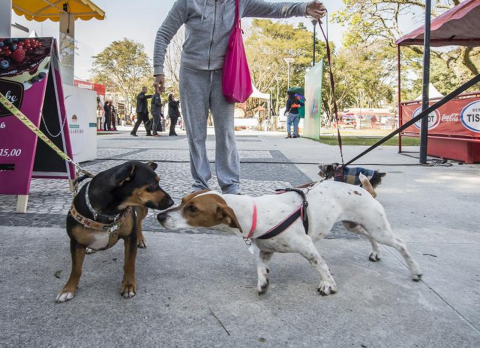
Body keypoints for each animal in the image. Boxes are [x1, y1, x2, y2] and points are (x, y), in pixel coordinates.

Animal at [56, 162, 172, 304]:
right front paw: (68, 289)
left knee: (139, 222)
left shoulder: (130, 237)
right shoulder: (76, 242)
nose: (172, 202)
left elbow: (129, 264)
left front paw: (128, 285)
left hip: (142, 210)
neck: (110, 211)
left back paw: (141, 239)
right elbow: (76, 268)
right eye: (153, 184)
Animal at [157, 182, 420, 296]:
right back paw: (376, 252)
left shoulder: (307, 247)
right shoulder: (266, 250)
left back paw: (415, 271)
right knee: (368, 237)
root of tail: (365, 189)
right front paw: (263, 282)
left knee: (401, 244)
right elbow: (261, 267)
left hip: (378, 228)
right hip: (354, 225)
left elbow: (320, 265)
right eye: (183, 200)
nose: (159, 216)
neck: (254, 212)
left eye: (193, 209)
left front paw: (328, 284)